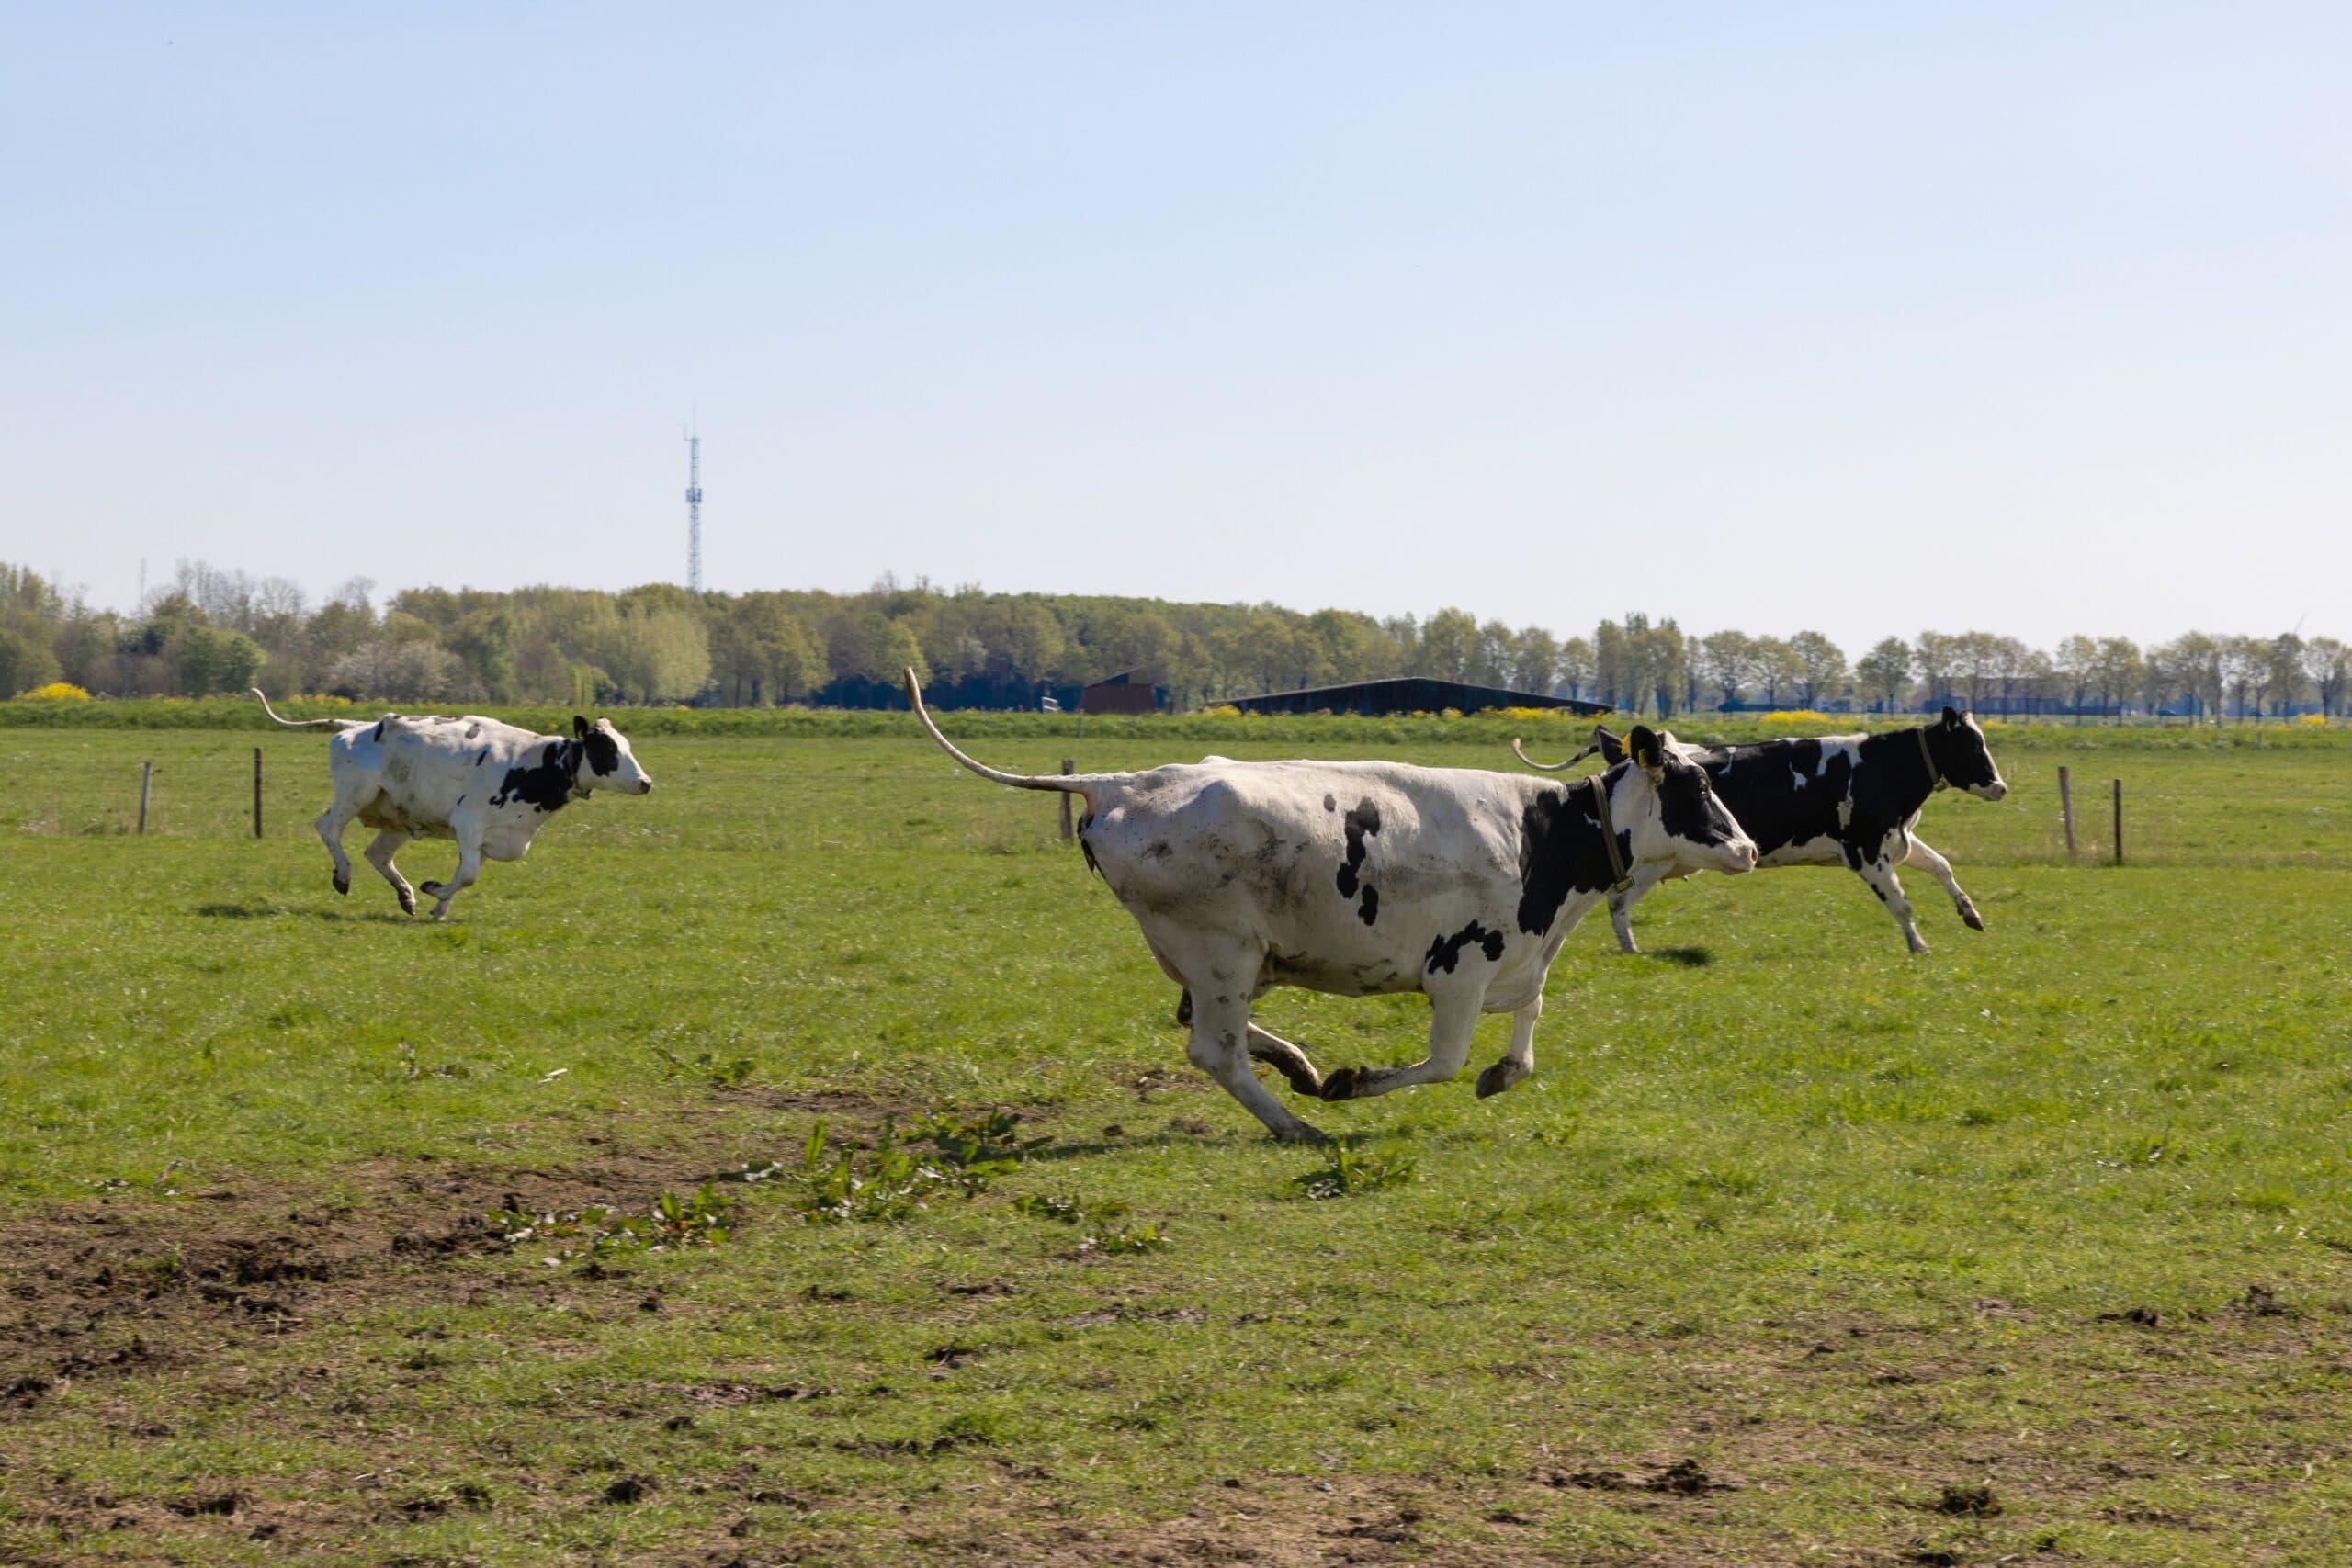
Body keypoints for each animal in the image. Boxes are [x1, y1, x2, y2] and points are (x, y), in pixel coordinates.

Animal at [252, 690, 654, 920]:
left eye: (626, 745)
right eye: (607, 749)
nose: (646, 782)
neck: (538, 765)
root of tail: (360, 725)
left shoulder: (494, 838)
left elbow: (465, 874)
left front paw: (438, 906)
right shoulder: (468, 821)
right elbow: (470, 874)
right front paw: (435, 891)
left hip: (400, 817)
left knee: (377, 854)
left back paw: (406, 896)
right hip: (354, 793)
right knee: (328, 828)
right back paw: (344, 876)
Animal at [905, 669, 1756, 1143]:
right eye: (1694, 785)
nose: (1747, 847)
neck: (1540, 836)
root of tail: (1123, 782)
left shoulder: (1522, 958)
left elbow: (1525, 1035)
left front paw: (1502, 1073)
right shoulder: (1460, 968)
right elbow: (1444, 1062)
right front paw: (1355, 1082)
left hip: (1218, 956)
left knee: (1199, 1024)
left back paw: (1297, 1067)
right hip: (1220, 950)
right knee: (1213, 1050)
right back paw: (1300, 1119)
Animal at [1511, 707, 2007, 956]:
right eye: (1971, 745)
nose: (2000, 786)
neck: (1882, 767)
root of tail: (1626, 752)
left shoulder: (1895, 840)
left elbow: (1942, 867)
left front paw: (1971, 914)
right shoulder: (1866, 850)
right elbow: (1902, 903)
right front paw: (1919, 947)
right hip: (1656, 860)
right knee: (1618, 901)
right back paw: (1631, 951)